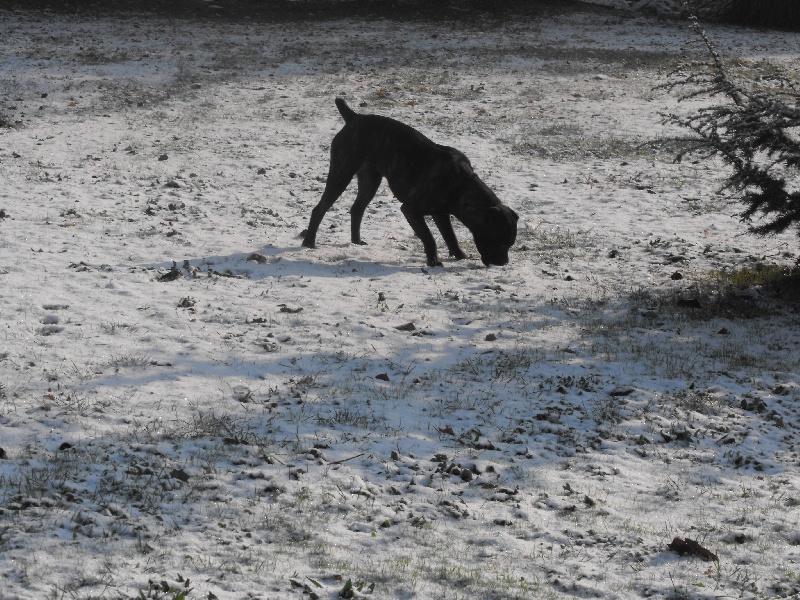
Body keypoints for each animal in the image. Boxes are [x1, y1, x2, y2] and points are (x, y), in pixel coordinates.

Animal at [300, 98, 520, 268]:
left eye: (510, 245)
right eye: (499, 242)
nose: (503, 263)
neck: (463, 186)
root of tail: (354, 117)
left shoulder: (441, 214)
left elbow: (450, 236)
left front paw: (459, 255)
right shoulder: (411, 210)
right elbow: (429, 237)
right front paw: (433, 261)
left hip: (370, 181)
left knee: (357, 209)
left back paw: (356, 242)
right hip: (341, 173)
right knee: (320, 209)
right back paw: (309, 243)